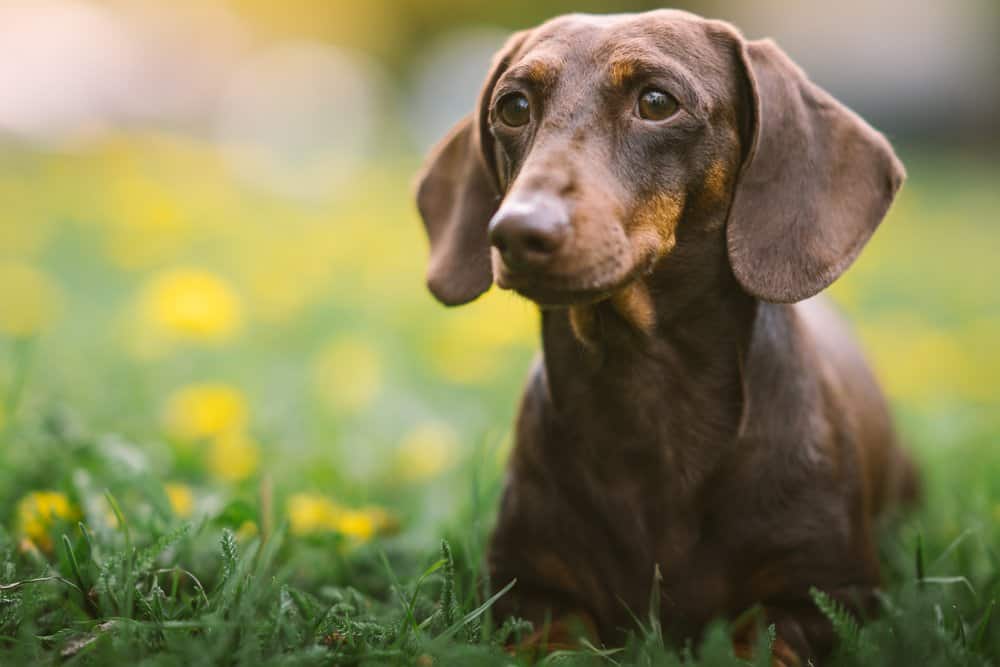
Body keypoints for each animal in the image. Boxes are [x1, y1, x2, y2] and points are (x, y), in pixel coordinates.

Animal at [412, 7, 916, 664]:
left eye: (656, 101)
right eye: (513, 107)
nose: (517, 232)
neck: (644, 398)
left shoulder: (827, 596)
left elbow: (759, 641)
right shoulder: (528, 592)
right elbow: (557, 641)